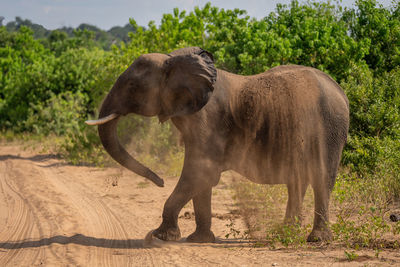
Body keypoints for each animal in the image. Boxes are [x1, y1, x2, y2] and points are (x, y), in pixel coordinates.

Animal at [86, 47, 348, 244]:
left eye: (132, 87)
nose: (160, 181)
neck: (174, 61)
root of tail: (341, 91)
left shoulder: (208, 120)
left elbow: (201, 172)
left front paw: (159, 236)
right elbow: (202, 178)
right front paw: (198, 240)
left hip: (329, 128)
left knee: (321, 179)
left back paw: (316, 240)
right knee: (297, 182)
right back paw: (284, 233)